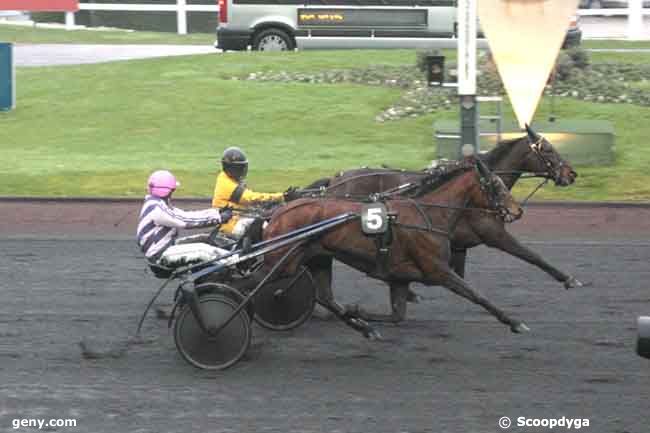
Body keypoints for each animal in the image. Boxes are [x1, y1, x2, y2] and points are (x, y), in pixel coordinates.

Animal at [260, 157, 528, 340]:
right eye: (495, 184)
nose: (518, 211)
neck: (430, 215)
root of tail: (278, 212)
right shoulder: (438, 270)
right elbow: (477, 295)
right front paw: (515, 322)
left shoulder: (400, 277)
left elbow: (397, 315)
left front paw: (358, 312)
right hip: (284, 261)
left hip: (318, 259)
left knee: (325, 297)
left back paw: (363, 327)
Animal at [304, 125, 584, 320]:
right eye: (547, 150)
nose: (571, 174)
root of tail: (334, 181)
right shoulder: (493, 233)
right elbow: (532, 256)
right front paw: (569, 279)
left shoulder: (459, 244)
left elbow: (458, 274)